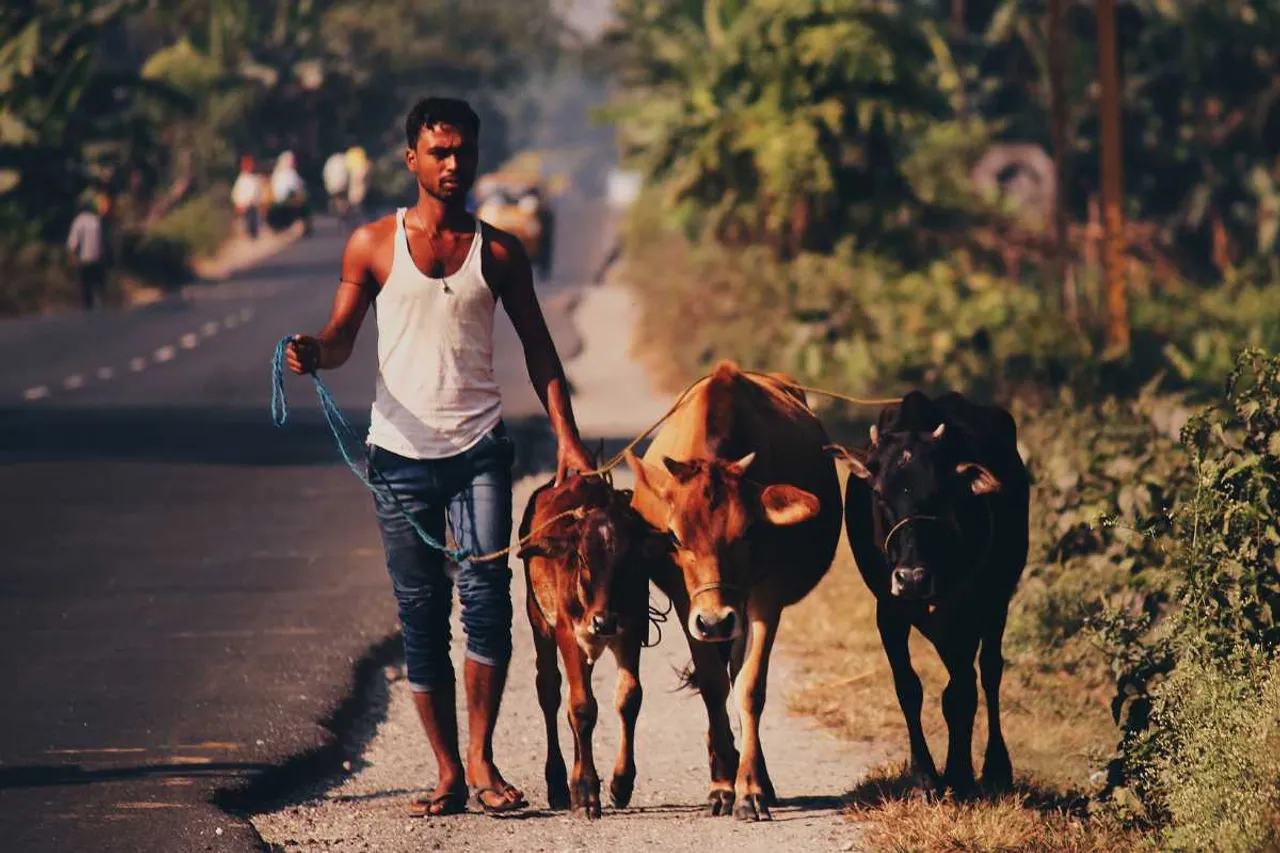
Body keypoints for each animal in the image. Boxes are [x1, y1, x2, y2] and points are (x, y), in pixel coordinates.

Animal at [517, 473, 665, 814]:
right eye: (583, 557)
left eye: (628, 561)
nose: (603, 622)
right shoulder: (568, 633)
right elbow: (582, 707)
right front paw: (585, 790)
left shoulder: (631, 630)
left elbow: (628, 699)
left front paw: (620, 783)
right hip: (539, 621)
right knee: (551, 692)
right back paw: (559, 784)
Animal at [829, 389, 1029, 794]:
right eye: (880, 494)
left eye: (940, 494)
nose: (912, 578)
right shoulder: (888, 612)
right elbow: (910, 688)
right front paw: (924, 774)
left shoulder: (967, 610)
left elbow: (961, 692)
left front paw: (960, 774)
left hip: (997, 601)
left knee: (990, 671)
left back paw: (996, 768)